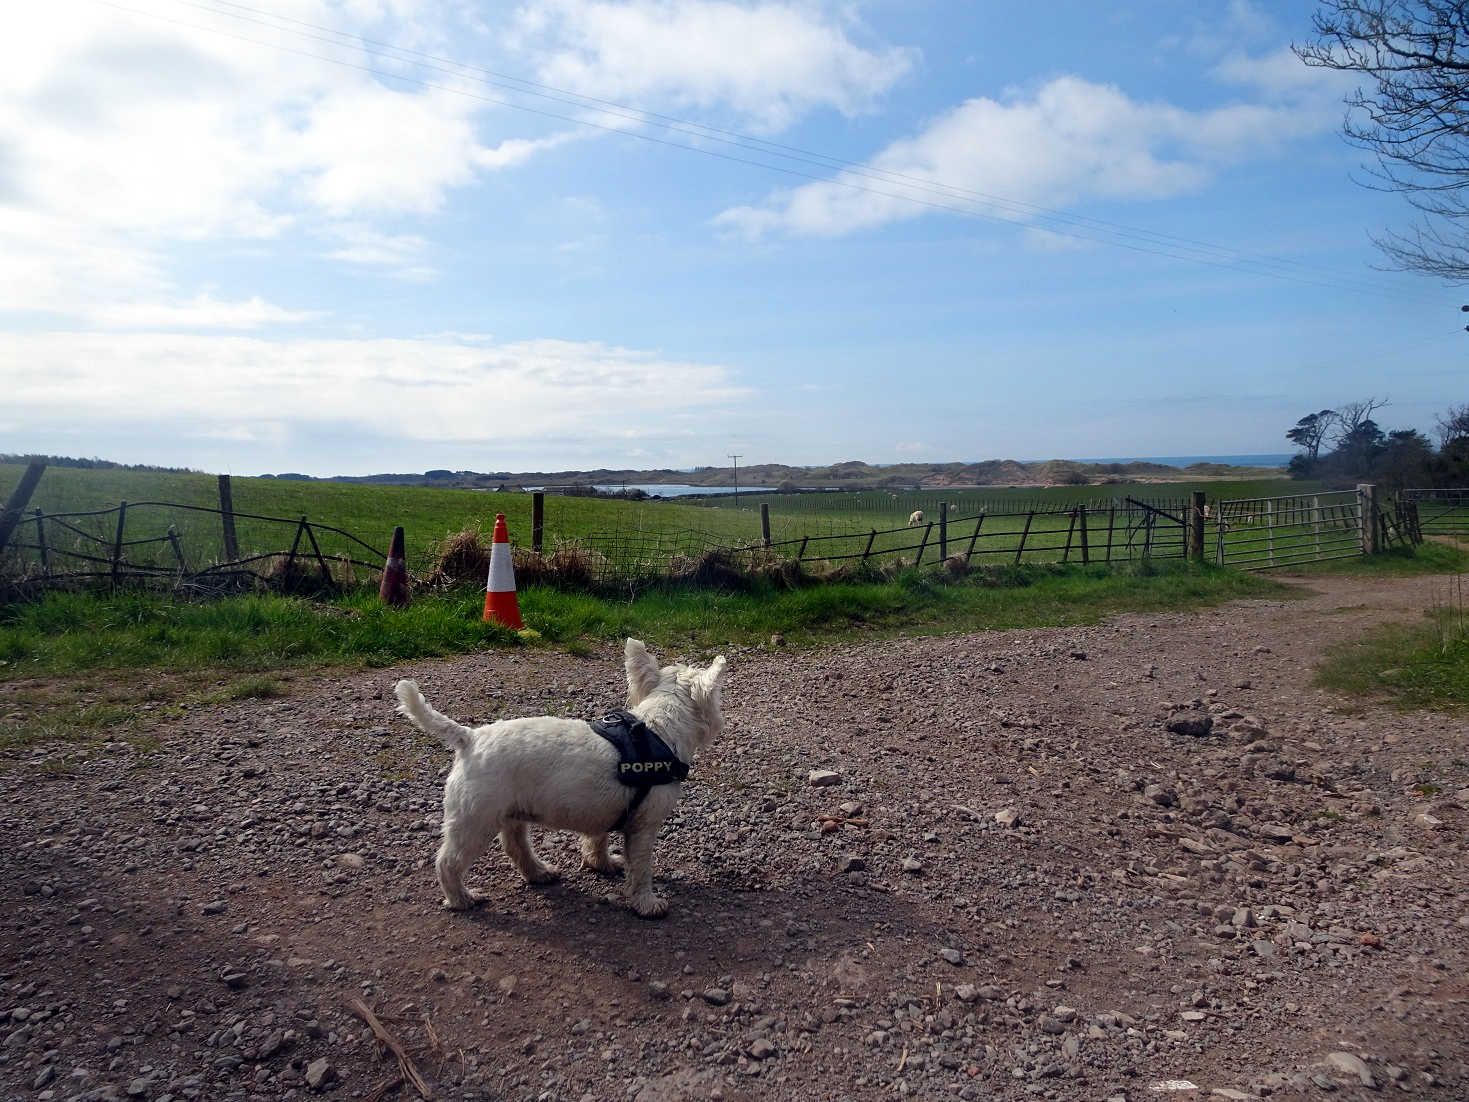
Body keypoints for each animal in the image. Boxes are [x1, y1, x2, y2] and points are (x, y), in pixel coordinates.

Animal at [396, 637, 728, 922]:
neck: (658, 729)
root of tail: (470, 738)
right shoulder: (644, 825)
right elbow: (641, 868)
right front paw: (647, 904)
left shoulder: (603, 813)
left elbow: (596, 841)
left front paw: (603, 864)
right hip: (475, 821)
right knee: (448, 862)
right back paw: (462, 899)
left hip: (509, 814)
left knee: (516, 847)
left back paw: (539, 872)